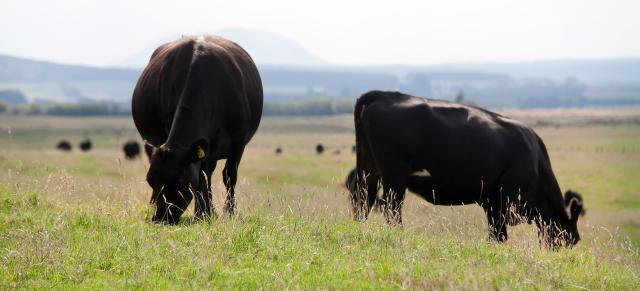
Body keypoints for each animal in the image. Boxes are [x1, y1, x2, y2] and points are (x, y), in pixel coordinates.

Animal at [131, 35, 262, 225]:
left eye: (178, 182)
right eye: (150, 181)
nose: (161, 218)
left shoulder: (238, 142)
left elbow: (228, 175)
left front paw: (228, 212)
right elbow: (202, 178)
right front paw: (204, 213)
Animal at [352, 91, 588, 249]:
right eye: (567, 239)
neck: (536, 162)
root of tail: (383, 95)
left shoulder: (490, 202)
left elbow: (496, 233)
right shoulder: (503, 200)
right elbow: (498, 235)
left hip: (369, 171)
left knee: (362, 201)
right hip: (394, 175)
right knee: (391, 209)